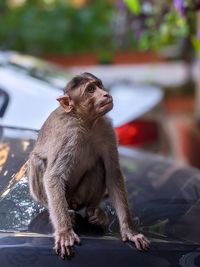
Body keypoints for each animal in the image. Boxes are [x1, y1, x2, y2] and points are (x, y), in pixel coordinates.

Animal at [28, 73, 150, 260]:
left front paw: (129, 231)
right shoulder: (68, 134)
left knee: (99, 166)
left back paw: (95, 212)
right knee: (37, 161)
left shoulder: (106, 129)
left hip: (79, 196)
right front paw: (64, 232)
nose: (105, 94)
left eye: (99, 85)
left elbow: (113, 173)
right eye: (91, 90)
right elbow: (53, 176)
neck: (85, 122)